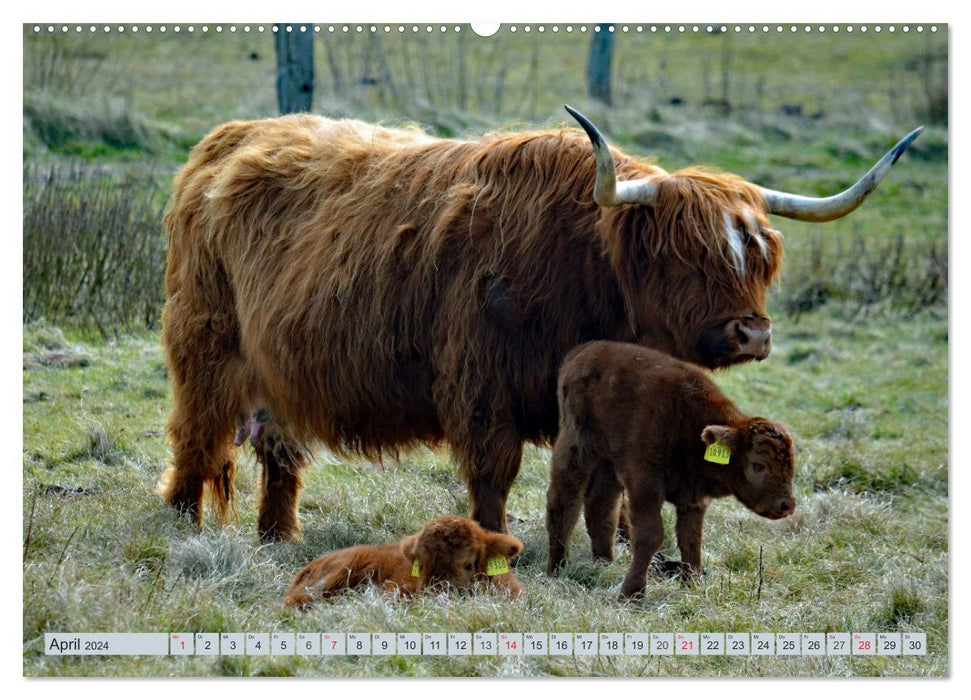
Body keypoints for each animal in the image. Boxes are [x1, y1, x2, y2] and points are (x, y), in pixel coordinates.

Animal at [158, 105, 920, 540]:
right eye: (686, 256)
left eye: (759, 257)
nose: (751, 334)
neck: (585, 272)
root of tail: (230, 138)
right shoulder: (481, 387)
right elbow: (493, 476)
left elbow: (616, 481)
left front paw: (620, 544)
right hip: (207, 346)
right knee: (197, 436)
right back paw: (182, 521)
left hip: (279, 370)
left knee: (280, 451)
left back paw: (278, 536)